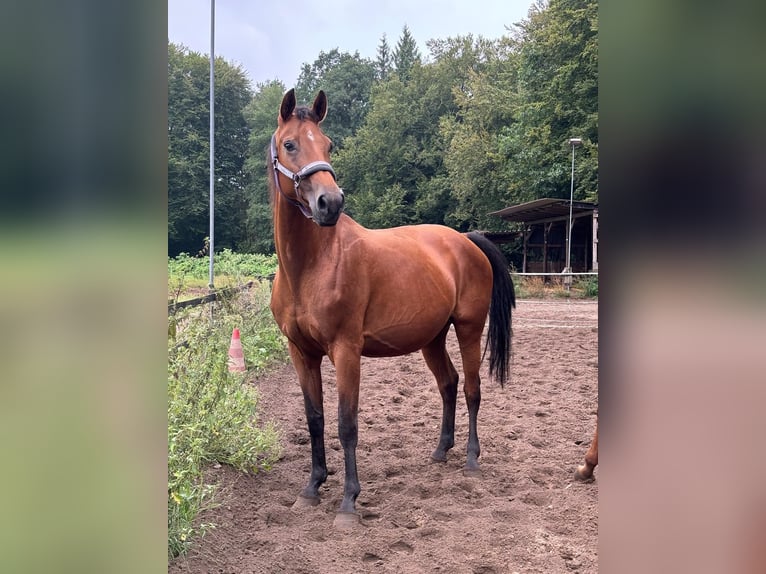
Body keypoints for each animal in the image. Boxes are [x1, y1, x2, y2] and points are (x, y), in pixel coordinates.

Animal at [268, 91, 516, 532]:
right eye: (290, 144)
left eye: (328, 144)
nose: (330, 203)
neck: (311, 266)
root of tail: (466, 240)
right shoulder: (302, 353)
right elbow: (315, 419)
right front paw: (311, 488)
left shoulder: (346, 351)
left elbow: (346, 423)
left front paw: (349, 502)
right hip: (432, 338)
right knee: (449, 384)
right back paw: (441, 451)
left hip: (469, 329)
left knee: (471, 389)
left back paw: (471, 458)